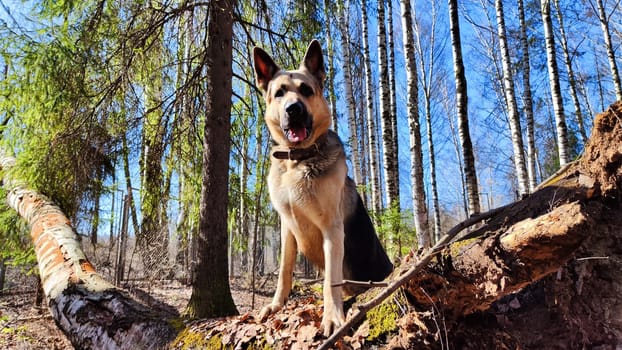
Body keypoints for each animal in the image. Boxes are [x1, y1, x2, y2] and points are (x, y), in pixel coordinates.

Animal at [255, 39, 394, 334]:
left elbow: (331, 278)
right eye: (279, 93)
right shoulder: (287, 229)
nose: (293, 109)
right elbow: (284, 270)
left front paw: (332, 317)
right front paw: (276, 305)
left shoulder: (332, 228)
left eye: (306, 90)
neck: (297, 161)